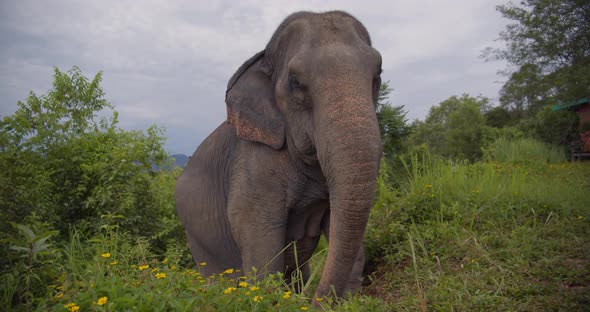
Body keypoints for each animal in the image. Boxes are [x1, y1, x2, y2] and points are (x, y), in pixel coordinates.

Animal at [176, 10, 384, 300]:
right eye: (295, 82)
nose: (316, 300)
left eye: (378, 74)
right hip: (197, 240)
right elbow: (260, 237)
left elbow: (339, 222)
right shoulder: (253, 166)